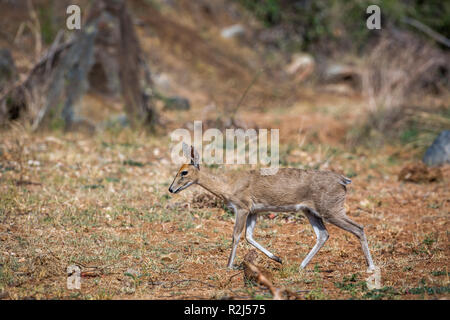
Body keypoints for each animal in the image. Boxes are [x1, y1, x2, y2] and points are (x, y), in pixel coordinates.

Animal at [169, 144, 376, 272]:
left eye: (184, 172)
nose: (171, 189)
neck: (229, 185)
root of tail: (343, 180)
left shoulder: (242, 209)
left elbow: (236, 236)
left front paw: (229, 265)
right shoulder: (254, 212)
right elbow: (249, 236)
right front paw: (278, 258)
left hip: (331, 211)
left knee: (359, 228)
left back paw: (371, 267)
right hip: (311, 212)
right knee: (323, 234)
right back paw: (300, 266)